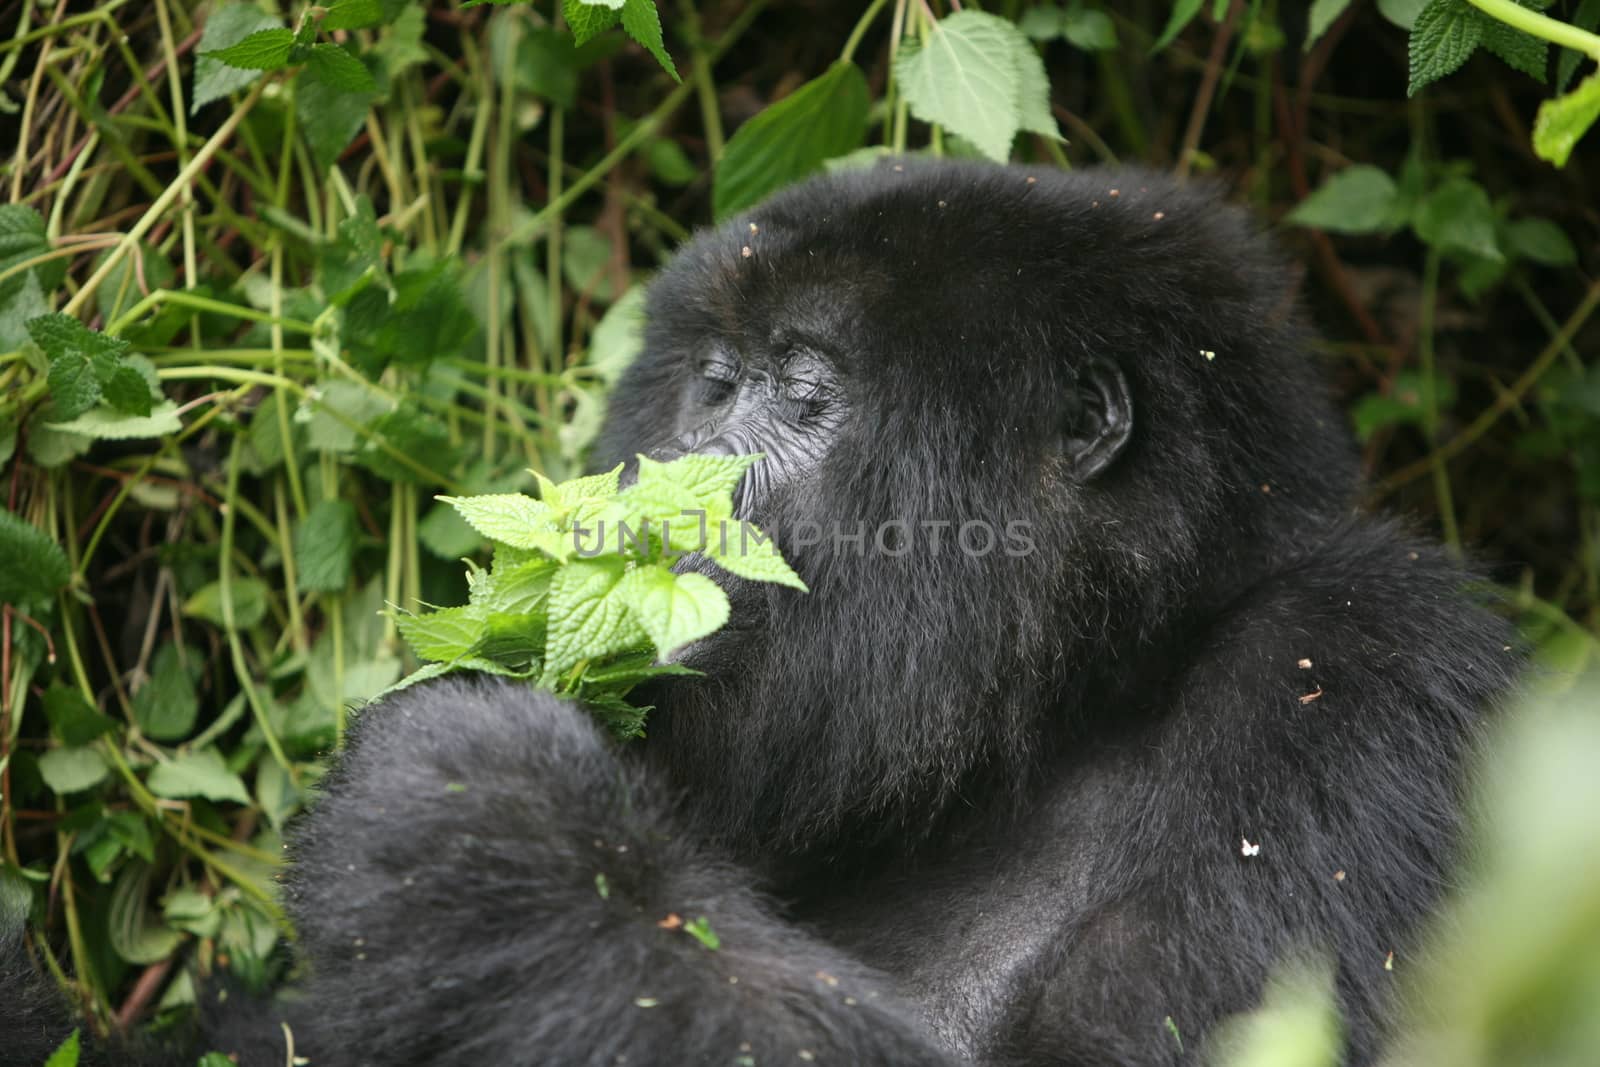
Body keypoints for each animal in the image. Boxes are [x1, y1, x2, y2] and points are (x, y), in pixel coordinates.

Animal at [6, 160, 1516, 1067]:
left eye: (799, 388)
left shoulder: (1364, 673)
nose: (639, 493)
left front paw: (477, 810)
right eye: (708, 383)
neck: (1062, 714)